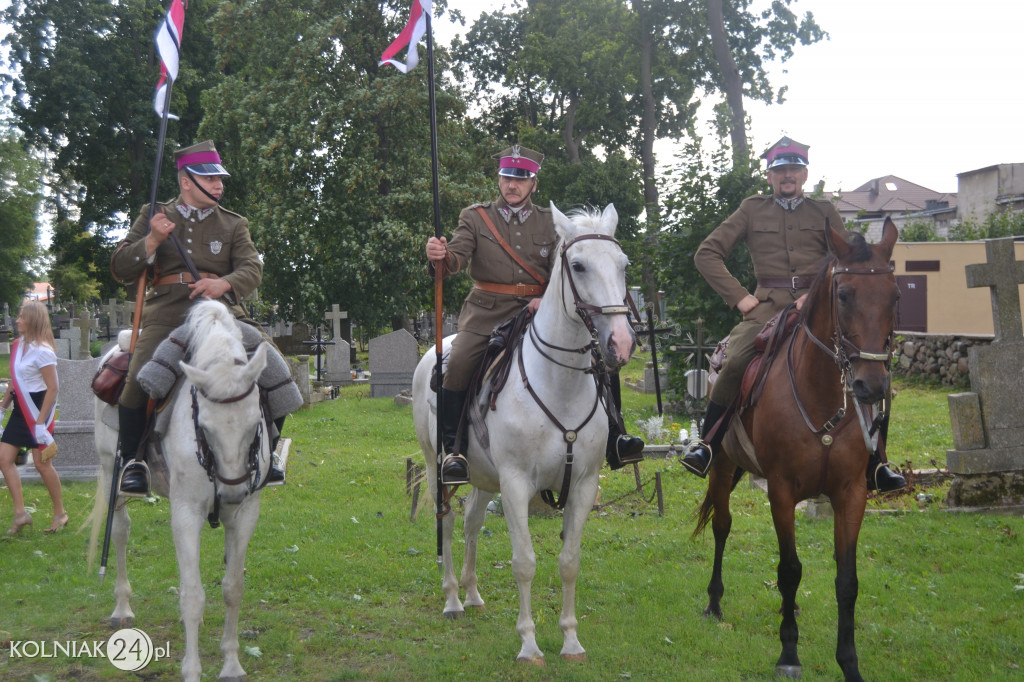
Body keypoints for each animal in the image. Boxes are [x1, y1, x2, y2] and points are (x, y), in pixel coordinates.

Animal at [90, 301, 272, 679]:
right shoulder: (187, 513)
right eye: (204, 426)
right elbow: (192, 596)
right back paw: (122, 606)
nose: (231, 495)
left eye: (254, 424)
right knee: (120, 531)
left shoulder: (246, 514)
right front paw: (192, 670)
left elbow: (232, 587)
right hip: (111, 472)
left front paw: (231, 664)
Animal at [411, 204, 634, 659]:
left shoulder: (583, 484)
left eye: (623, 266)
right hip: (440, 466)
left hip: (484, 477)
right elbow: (525, 562)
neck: (558, 383)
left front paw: (570, 639)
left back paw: (472, 593)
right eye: (578, 266)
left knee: (471, 523)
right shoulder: (515, 484)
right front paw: (529, 644)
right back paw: (452, 599)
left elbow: (569, 561)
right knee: (447, 523)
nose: (620, 343)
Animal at [692, 218, 901, 679]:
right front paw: (789, 653)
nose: (872, 386)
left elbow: (847, 580)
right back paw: (714, 602)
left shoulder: (851, 493)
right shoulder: (782, 490)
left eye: (895, 296)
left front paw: (849, 662)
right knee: (722, 526)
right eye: (843, 295)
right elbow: (789, 570)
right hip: (723, 466)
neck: (819, 393)